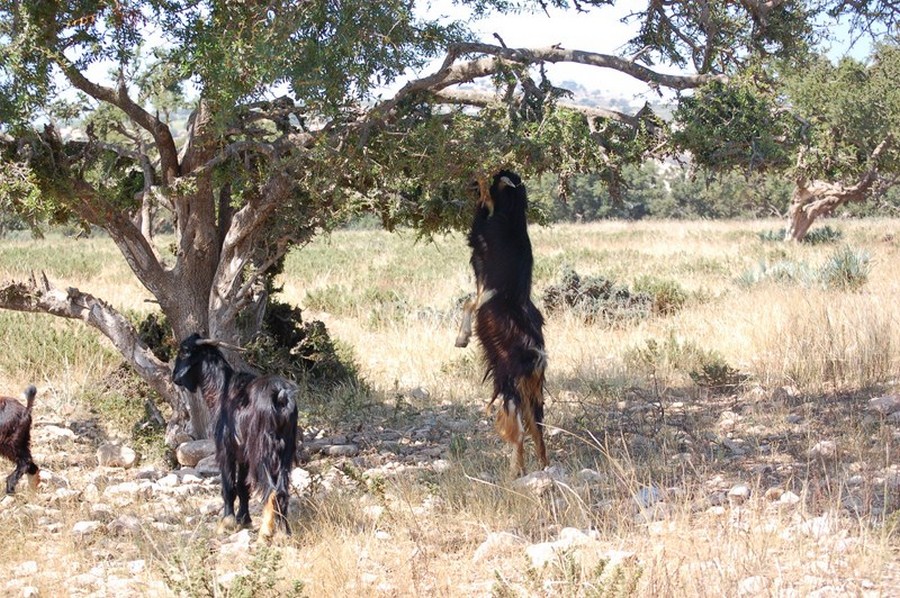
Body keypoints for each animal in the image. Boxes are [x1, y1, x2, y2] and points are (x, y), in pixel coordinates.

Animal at [174, 336, 300, 540]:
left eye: (184, 352)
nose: (175, 377)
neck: (222, 390)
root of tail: (280, 397)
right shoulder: (243, 455)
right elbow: (242, 487)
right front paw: (244, 519)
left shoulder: (225, 449)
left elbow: (229, 487)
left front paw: (226, 522)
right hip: (286, 450)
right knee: (282, 490)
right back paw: (284, 532)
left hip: (262, 450)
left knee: (272, 489)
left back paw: (265, 533)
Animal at [458, 171, 548, 476]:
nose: (472, 182)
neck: (511, 218)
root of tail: (536, 358)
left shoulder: (487, 289)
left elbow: (468, 305)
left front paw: (462, 338)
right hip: (530, 394)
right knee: (537, 430)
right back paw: (542, 467)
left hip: (510, 385)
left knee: (519, 432)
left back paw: (514, 472)